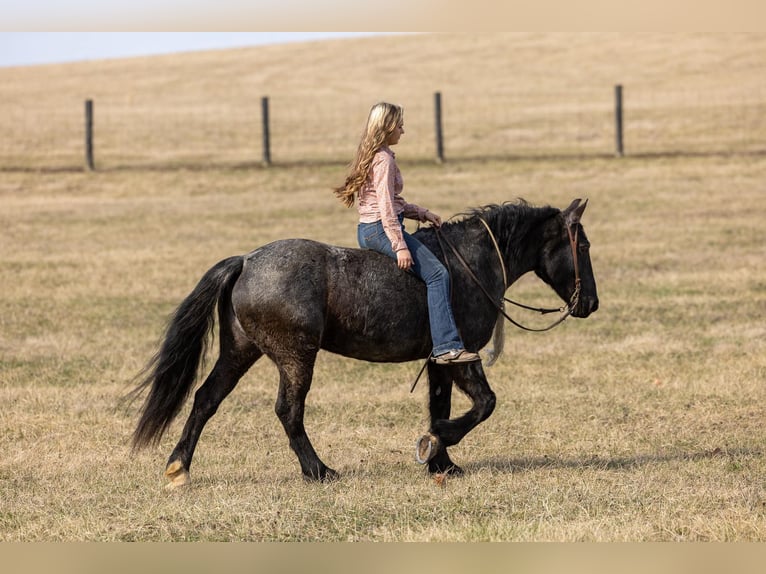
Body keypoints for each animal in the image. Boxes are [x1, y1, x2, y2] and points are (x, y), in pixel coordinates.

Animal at [130, 199, 600, 490]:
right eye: (584, 245)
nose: (591, 304)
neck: (469, 263)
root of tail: (246, 261)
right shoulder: (461, 356)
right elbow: (484, 404)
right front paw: (435, 442)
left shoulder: (438, 360)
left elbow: (441, 405)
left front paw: (442, 461)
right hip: (295, 358)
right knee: (288, 411)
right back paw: (318, 471)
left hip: (240, 351)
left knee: (206, 399)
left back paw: (178, 467)